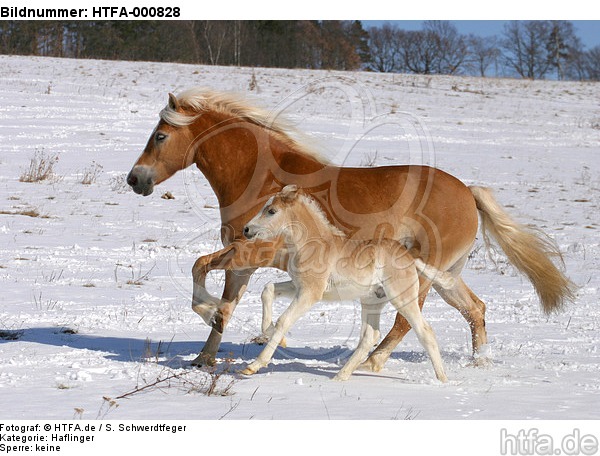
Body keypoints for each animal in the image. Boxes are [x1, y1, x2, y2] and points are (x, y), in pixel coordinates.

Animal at [241, 185, 452, 382]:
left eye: (272, 211)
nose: (246, 229)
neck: (313, 245)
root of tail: (410, 257)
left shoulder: (311, 293)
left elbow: (284, 320)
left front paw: (254, 365)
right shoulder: (298, 286)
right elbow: (268, 289)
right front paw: (274, 335)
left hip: (403, 299)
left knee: (425, 331)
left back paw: (442, 380)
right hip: (372, 302)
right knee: (369, 337)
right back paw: (340, 376)